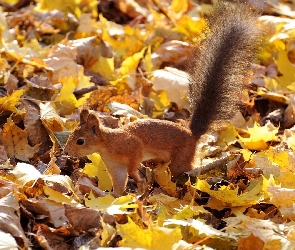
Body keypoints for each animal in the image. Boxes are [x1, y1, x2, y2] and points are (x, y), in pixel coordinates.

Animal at [64, 1, 264, 197]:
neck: (106, 144)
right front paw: (112, 197)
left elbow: (133, 164)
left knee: (184, 172)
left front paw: (137, 179)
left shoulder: (132, 147)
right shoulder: (115, 166)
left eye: (80, 141)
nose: (66, 151)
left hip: (180, 159)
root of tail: (193, 135)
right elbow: (119, 182)